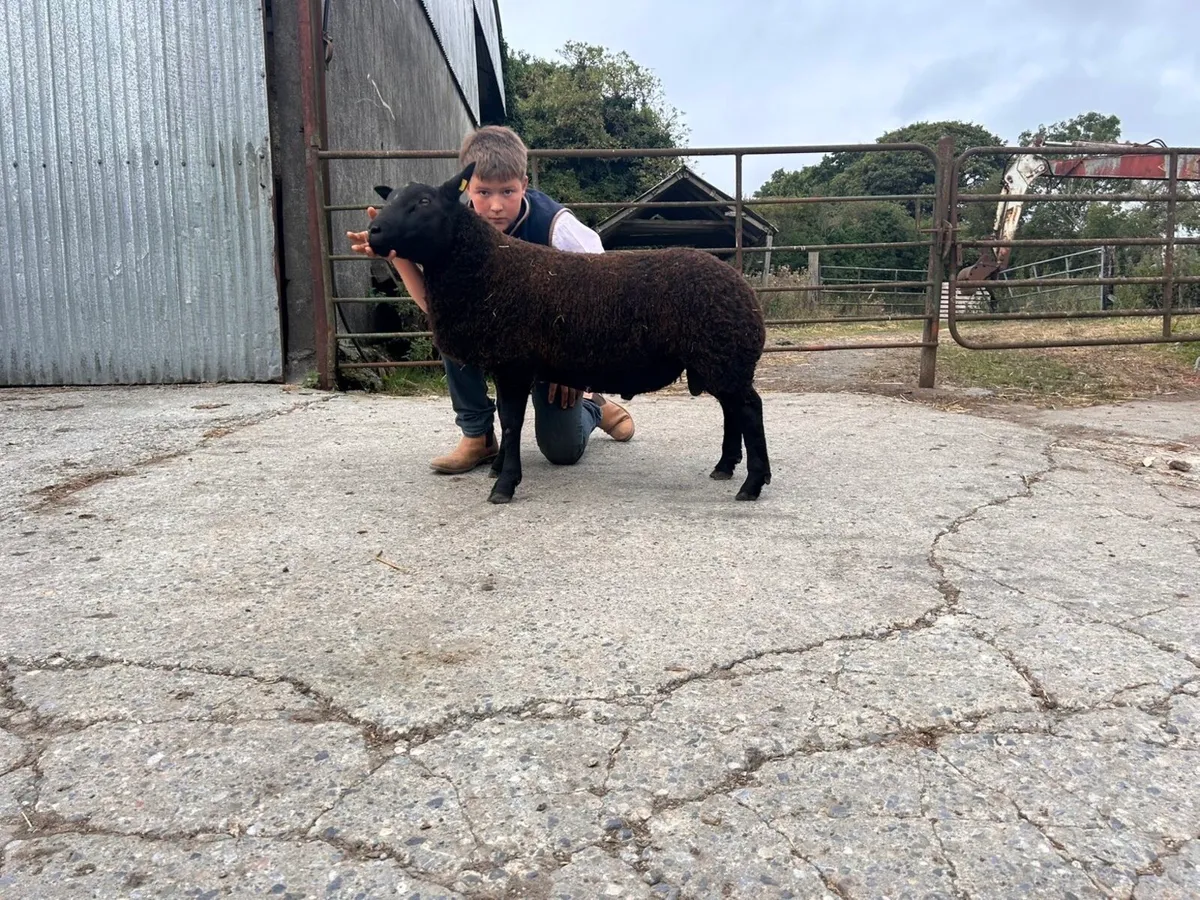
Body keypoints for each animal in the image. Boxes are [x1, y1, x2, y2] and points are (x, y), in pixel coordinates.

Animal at [367, 163, 772, 504]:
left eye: (424, 201)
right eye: (387, 200)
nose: (374, 232)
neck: (485, 265)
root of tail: (743, 288)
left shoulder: (513, 363)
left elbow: (512, 423)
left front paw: (504, 485)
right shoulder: (505, 364)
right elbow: (506, 420)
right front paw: (498, 468)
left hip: (724, 355)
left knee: (749, 410)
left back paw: (752, 484)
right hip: (717, 360)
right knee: (731, 410)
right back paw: (724, 467)